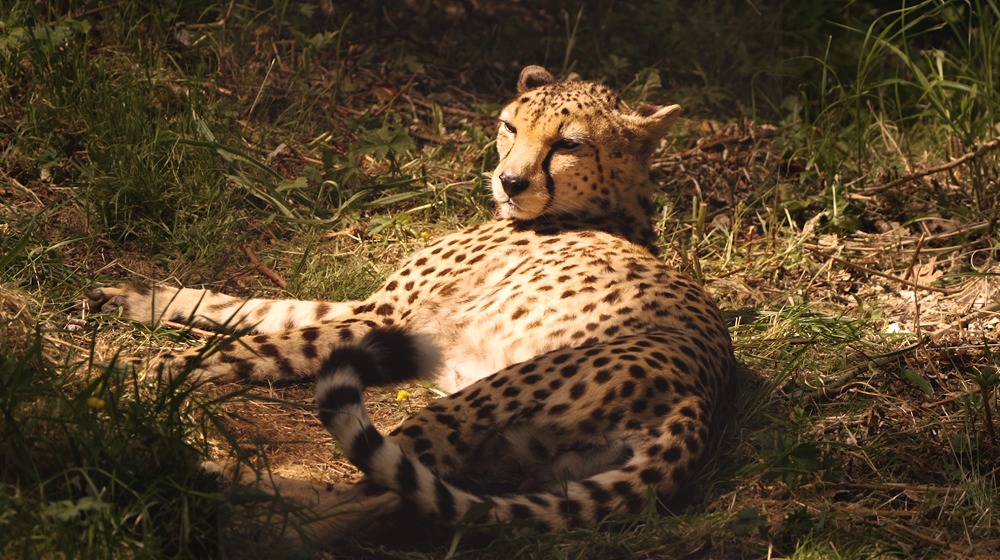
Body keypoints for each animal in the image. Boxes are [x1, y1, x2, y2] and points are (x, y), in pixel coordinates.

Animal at [86, 65, 740, 544]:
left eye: (569, 143)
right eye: (509, 126)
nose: (510, 182)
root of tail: (703, 402)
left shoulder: (380, 319)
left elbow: (261, 340)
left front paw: (140, 374)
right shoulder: (373, 311)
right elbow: (257, 308)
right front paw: (138, 300)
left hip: (488, 393)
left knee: (377, 493)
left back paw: (235, 501)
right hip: (527, 457)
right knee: (406, 497)